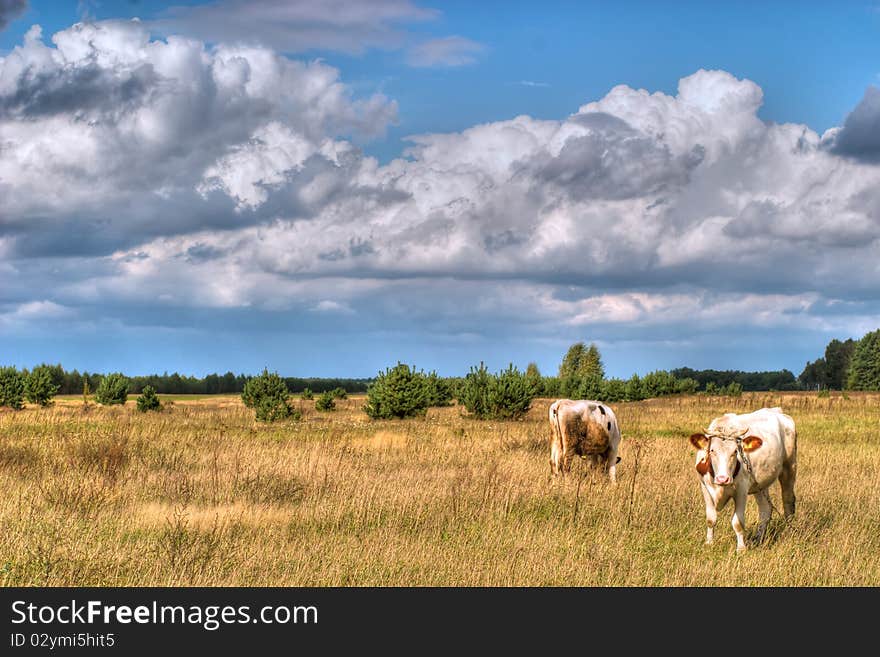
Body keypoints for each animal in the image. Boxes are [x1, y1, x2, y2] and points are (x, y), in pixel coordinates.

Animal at [688, 408, 796, 552]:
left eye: (735, 451)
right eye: (712, 450)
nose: (723, 479)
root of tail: (777, 411)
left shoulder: (741, 490)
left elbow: (738, 522)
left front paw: (741, 548)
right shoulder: (704, 487)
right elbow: (710, 519)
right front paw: (709, 543)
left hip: (789, 467)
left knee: (788, 501)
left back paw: (789, 532)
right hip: (760, 484)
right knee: (765, 509)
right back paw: (758, 538)